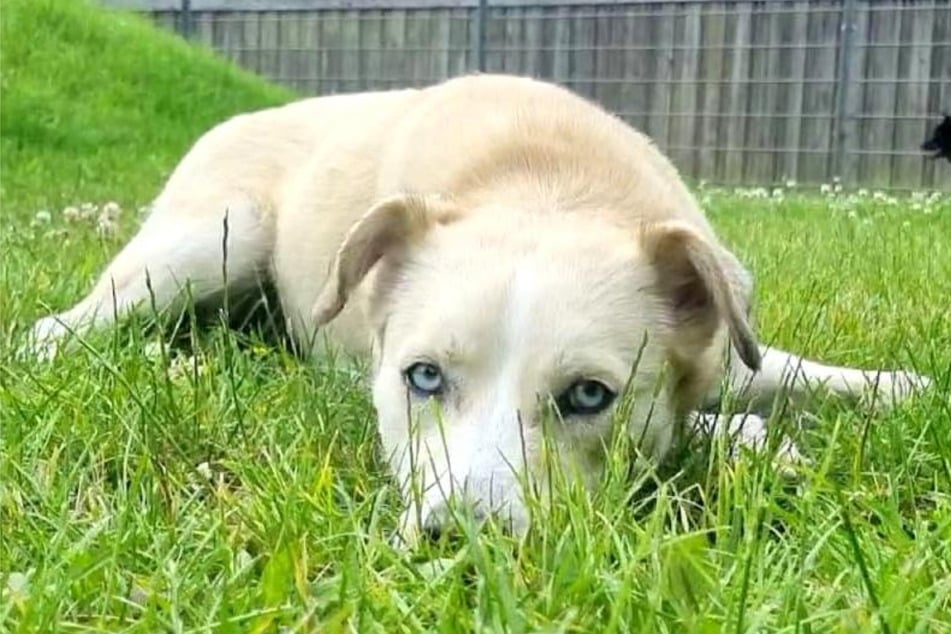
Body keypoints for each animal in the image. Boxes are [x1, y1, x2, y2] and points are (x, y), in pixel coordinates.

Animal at [24, 73, 936, 544]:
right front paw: (753, 437)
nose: (458, 545)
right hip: (212, 237)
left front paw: (898, 390)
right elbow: (712, 423)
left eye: (588, 395)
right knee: (57, 327)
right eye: (422, 378)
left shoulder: (718, 343)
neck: (543, 185)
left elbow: (785, 370)